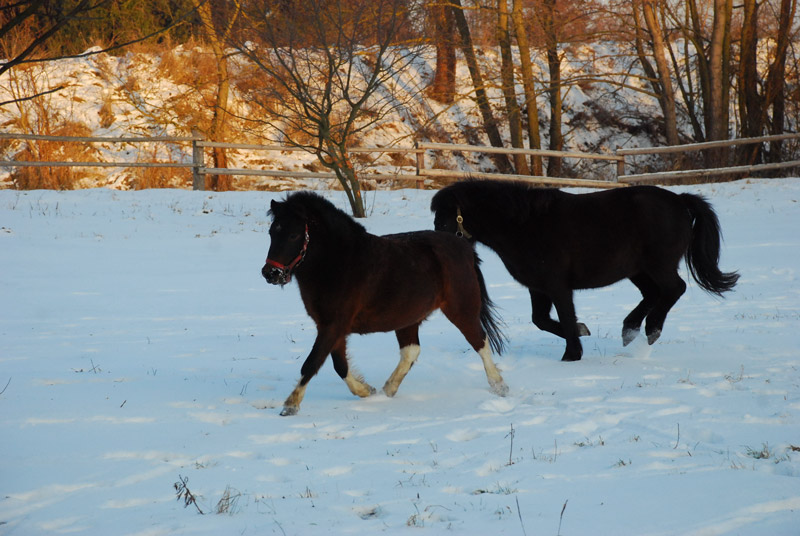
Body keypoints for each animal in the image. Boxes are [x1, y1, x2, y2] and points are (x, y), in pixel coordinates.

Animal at [264, 191, 512, 416]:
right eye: (272, 232)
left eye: (294, 235)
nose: (270, 273)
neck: (340, 261)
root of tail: (464, 248)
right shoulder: (330, 326)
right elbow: (339, 365)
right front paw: (366, 390)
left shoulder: (333, 326)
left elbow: (312, 362)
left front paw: (290, 404)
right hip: (409, 317)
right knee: (411, 351)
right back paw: (388, 389)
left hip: (461, 309)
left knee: (480, 342)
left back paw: (499, 385)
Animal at [434, 180, 740, 360]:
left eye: (444, 217)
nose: (438, 241)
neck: (524, 225)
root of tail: (679, 200)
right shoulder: (538, 286)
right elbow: (541, 320)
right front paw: (581, 334)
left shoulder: (558, 286)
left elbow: (566, 317)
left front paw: (572, 354)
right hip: (638, 270)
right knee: (653, 294)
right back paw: (630, 330)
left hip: (658, 266)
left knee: (674, 289)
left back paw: (652, 329)